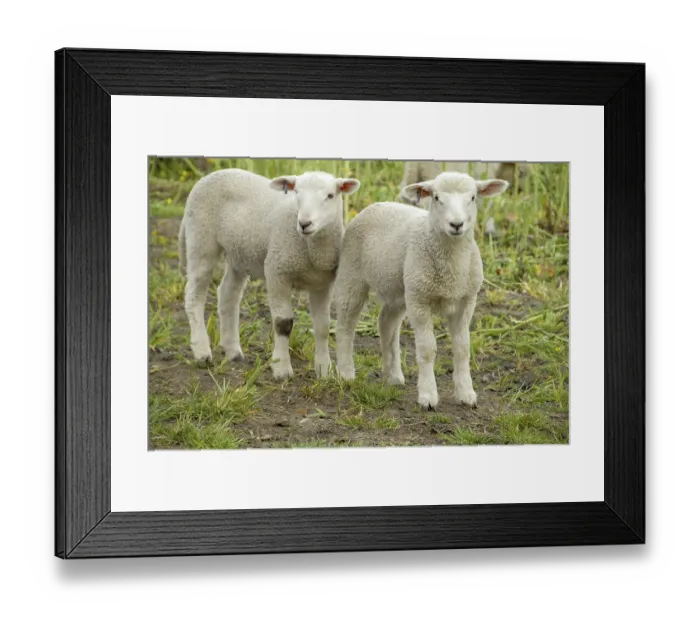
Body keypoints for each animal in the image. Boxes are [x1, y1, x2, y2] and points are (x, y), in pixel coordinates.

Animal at [179, 168, 360, 380]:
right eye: (296, 192)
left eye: (330, 196)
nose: (304, 224)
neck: (311, 250)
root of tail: (210, 175)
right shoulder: (277, 271)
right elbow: (283, 323)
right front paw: (281, 368)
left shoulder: (323, 284)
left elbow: (323, 326)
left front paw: (324, 370)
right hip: (201, 240)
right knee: (194, 295)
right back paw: (201, 352)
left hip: (239, 254)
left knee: (227, 295)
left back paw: (232, 350)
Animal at [334, 171, 508, 410]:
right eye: (436, 197)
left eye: (473, 197)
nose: (456, 224)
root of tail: (377, 204)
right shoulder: (420, 300)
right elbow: (427, 349)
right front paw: (428, 396)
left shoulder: (466, 300)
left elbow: (462, 348)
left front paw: (466, 393)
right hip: (352, 274)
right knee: (345, 324)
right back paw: (345, 372)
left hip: (400, 287)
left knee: (387, 322)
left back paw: (393, 375)